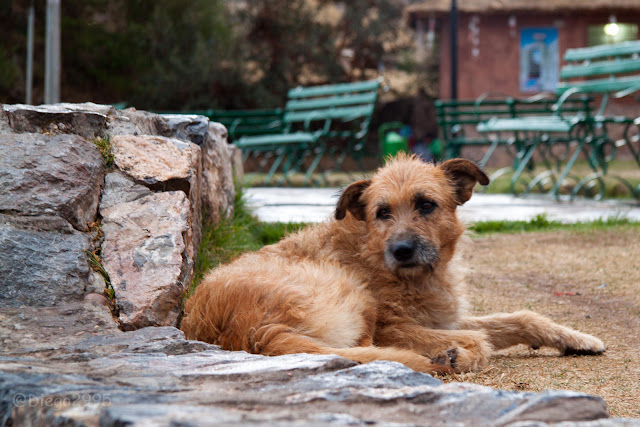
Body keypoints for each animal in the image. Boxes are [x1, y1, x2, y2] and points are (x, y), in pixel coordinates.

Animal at [180, 155, 604, 372]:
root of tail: (250, 331)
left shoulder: (443, 318)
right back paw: (443, 359)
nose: (402, 249)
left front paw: (576, 338)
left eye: (426, 204)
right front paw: (453, 354)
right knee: (376, 348)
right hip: (353, 295)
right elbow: (479, 338)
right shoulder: (399, 323)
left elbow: (520, 317)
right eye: (381, 212)